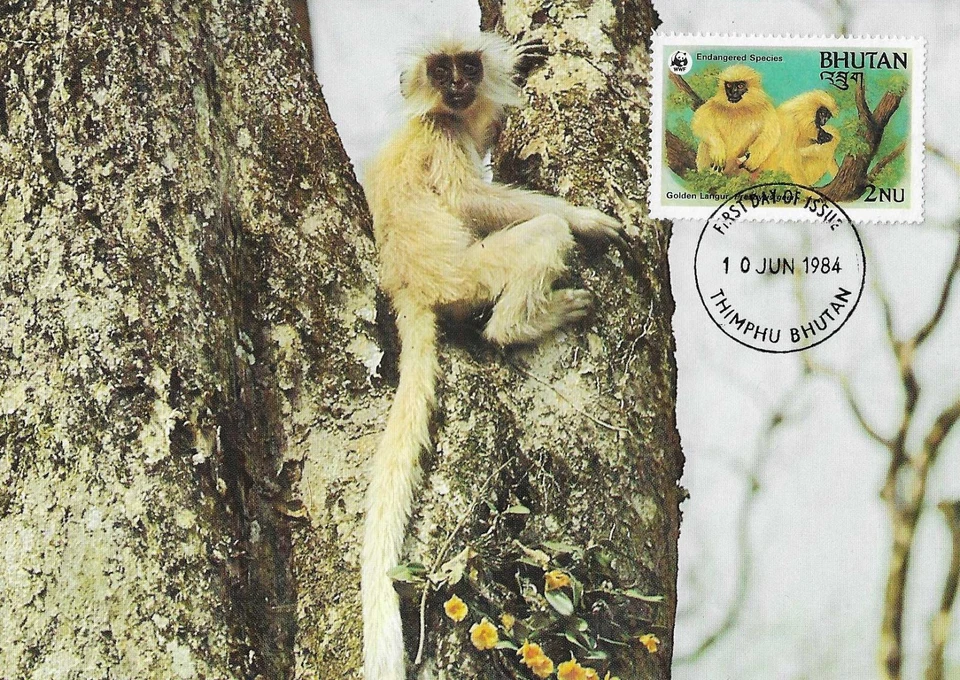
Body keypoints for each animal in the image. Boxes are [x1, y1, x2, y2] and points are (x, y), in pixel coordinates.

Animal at [360, 32, 624, 680]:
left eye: (468, 67)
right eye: (441, 69)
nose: (458, 84)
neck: (442, 115)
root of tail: (409, 286)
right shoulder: (440, 134)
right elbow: (467, 198)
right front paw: (586, 219)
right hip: (469, 275)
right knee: (542, 236)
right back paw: (520, 323)